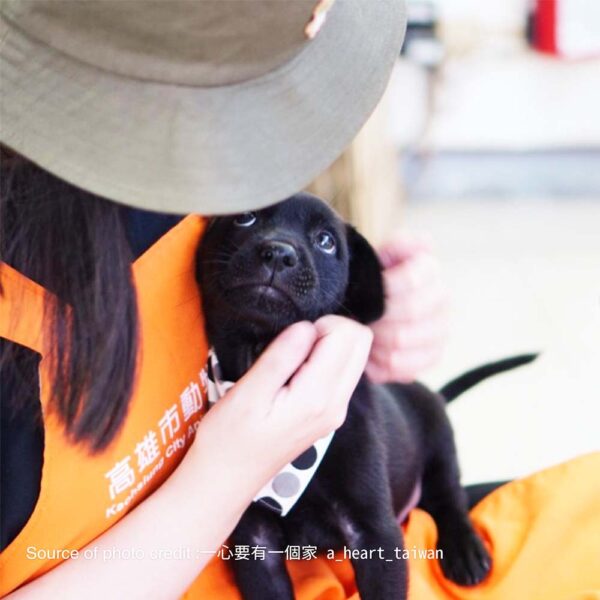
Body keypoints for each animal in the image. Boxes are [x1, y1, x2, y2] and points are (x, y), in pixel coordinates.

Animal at [199, 195, 490, 596]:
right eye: (245, 217)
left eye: (326, 241)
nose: (278, 253)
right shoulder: (255, 543)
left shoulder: (374, 533)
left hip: (440, 447)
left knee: (449, 498)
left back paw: (465, 550)